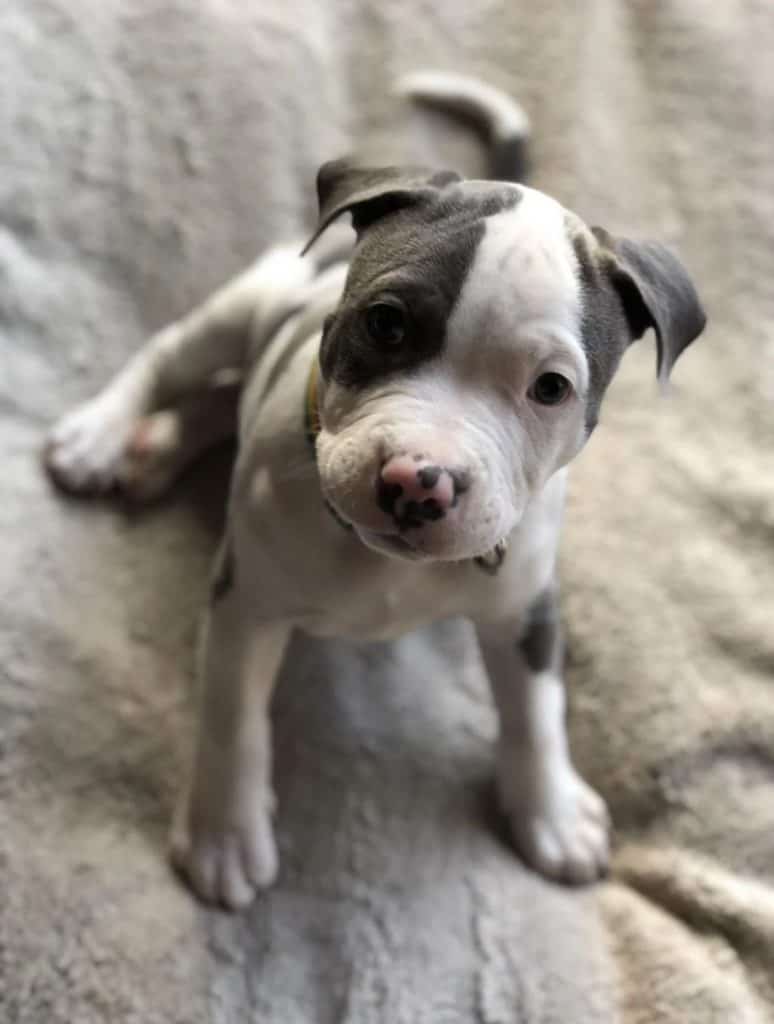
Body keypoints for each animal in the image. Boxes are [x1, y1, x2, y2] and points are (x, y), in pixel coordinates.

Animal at [43, 74, 708, 913]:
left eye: (551, 388)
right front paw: (224, 836)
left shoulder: (524, 605)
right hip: (253, 295)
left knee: (221, 395)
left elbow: (537, 711)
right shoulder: (246, 602)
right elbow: (233, 718)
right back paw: (100, 436)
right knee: (176, 355)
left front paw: (551, 814)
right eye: (386, 324)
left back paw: (156, 449)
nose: (419, 483)